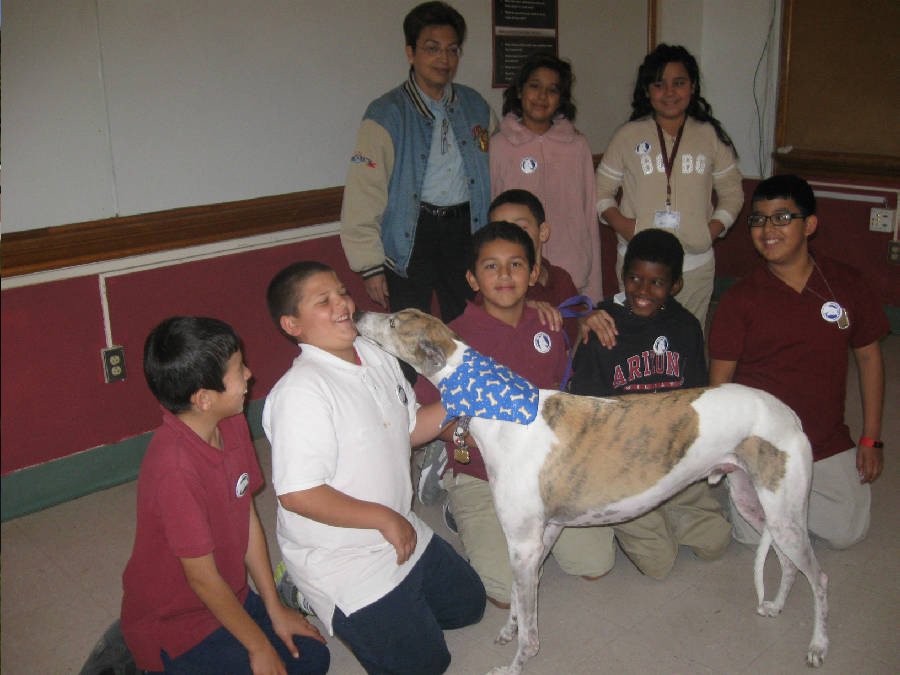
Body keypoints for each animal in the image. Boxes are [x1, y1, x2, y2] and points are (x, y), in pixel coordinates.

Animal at [356, 308, 828, 672]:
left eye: (394, 321)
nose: (358, 314)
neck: (502, 412)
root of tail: (789, 413)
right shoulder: (540, 538)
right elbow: (518, 602)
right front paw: (508, 630)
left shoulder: (523, 542)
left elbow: (531, 633)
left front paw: (513, 667)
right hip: (757, 504)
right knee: (790, 565)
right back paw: (776, 606)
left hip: (784, 514)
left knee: (819, 577)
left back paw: (818, 646)